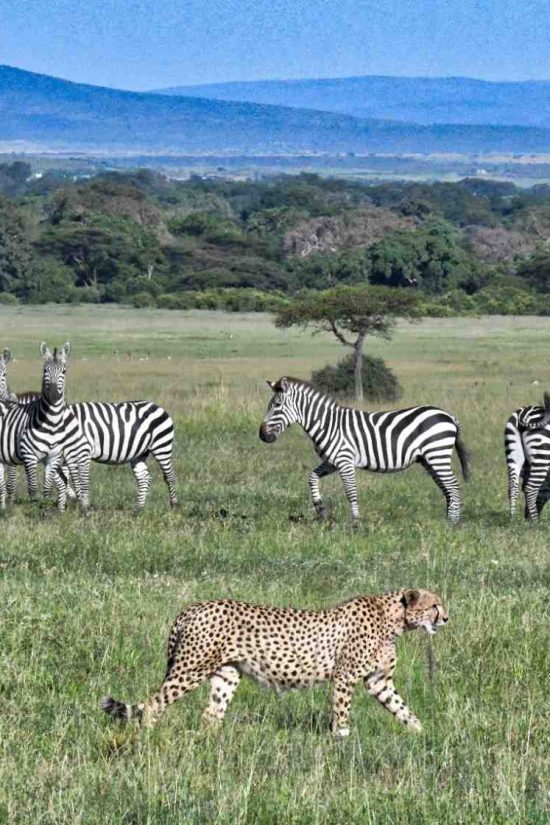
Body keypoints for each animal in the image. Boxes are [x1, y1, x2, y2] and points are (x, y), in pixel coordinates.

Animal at [0, 342, 91, 513]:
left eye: (64, 371)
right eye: (44, 370)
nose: (54, 394)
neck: (51, 423)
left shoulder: (53, 457)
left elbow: (47, 488)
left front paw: (46, 510)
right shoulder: (28, 456)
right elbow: (32, 489)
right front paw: (33, 510)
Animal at [101, 588, 448, 737]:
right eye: (434, 605)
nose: (446, 618)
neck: (394, 619)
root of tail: (194, 606)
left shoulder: (379, 681)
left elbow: (402, 708)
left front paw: (422, 733)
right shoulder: (345, 677)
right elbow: (342, 712)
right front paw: (341, 740)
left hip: (226, 675)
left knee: (210, 715)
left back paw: (215, 746)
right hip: (190, 669)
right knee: (153, 704)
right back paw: (147, 737)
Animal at [259, 377, 470, 525]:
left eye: (277, 405)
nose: (262, 436)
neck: (328, 424)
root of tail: (448, 415)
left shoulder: (345, 461)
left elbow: (350, 492)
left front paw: (355, 523)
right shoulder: (331, 462)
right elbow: (312, 477)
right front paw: (320, 510)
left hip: (437, 455)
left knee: (453, 486)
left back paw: (453, 523)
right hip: (429, 459)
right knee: (446, 489)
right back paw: (448, 520)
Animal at [504, 392, 550, 521]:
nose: (526, 518)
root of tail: (523, 414)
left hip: (514, 454)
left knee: (512, 487)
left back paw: (513, 520)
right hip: (541, 455)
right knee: (531, 488)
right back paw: (534, 523)